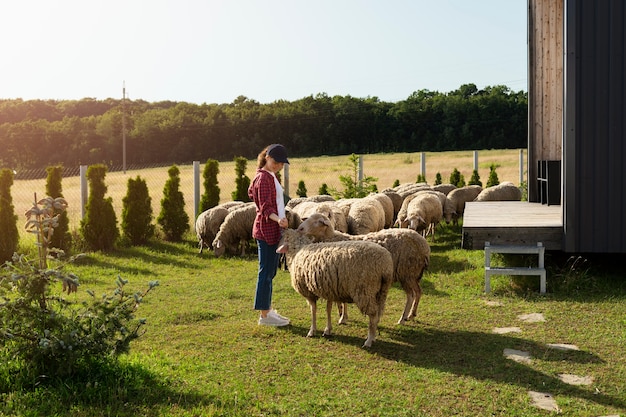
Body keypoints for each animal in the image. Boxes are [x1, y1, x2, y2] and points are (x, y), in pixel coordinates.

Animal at [298, 213, 428, 324]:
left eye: (318, 222)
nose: (300, 229)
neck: (332, 238)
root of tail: (423, 243)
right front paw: (343, 316)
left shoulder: (343, 275)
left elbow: (342, 302)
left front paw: (342, 318)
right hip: (413, 273)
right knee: (418, 292)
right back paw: (411, 314)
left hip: (407, 272)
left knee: (411, 295)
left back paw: (403, 318)